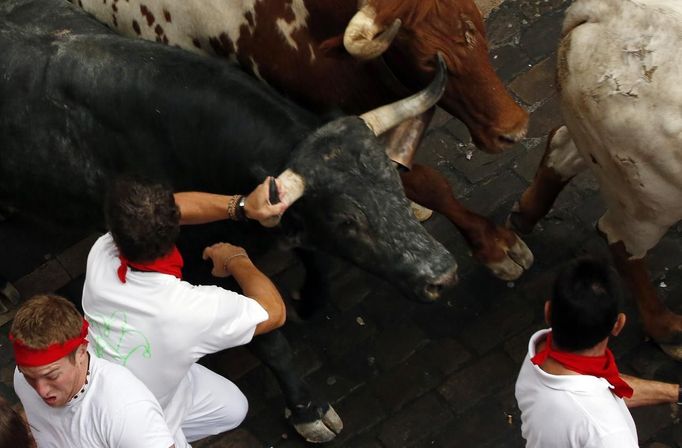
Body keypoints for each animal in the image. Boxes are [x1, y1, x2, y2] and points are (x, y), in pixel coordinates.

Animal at [1, 0, 456, 440]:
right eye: (346, 220)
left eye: (395, 178)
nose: (442, 272)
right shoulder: (202, 267)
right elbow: (271, 342)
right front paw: (307, 411)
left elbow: (315, 259)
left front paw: (310, 297)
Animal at [508, 0, 680, 358]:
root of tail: (602, 11)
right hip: (650, 198)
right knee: (620, 241)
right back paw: (668, 330)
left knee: (560, 145)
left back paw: (524, 214)